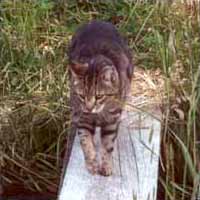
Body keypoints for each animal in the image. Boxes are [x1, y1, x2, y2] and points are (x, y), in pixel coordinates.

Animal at [68, 20, 134, 176]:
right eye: (82, 95)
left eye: (99, 96)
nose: (89, 107)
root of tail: (96, 21)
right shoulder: (83, 118)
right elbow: (86, 142)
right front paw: (91, 163)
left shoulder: (111, 121)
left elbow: (108, 145)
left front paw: (106, 165)